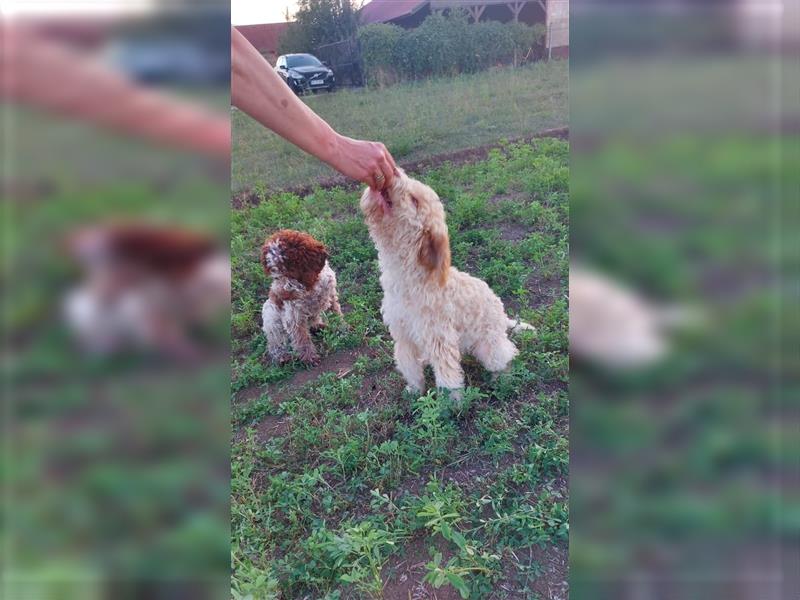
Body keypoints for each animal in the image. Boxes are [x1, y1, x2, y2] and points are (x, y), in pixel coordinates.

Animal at [260, 230, 340, 364]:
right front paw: (309, 357)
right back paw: (282, 356)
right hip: (270, 315)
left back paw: (318, 326)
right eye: (276, 276)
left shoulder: (331, 295)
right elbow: (301, 337)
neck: (309, 287)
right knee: (275, 341)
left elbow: (335, 313)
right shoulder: (293, 315)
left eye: (291, 272)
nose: (281, 295)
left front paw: (342, 329)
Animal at [360, 169, 536, 398]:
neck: (409, 277)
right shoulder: (404, 335)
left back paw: (502, 378)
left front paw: (451, 402)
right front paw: (414, 390)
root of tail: (503, 315)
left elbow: (448, 375)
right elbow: (409, 366)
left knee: (506, 355)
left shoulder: (440, 338)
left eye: (414, 200)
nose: (392, 174)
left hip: (490, 345)